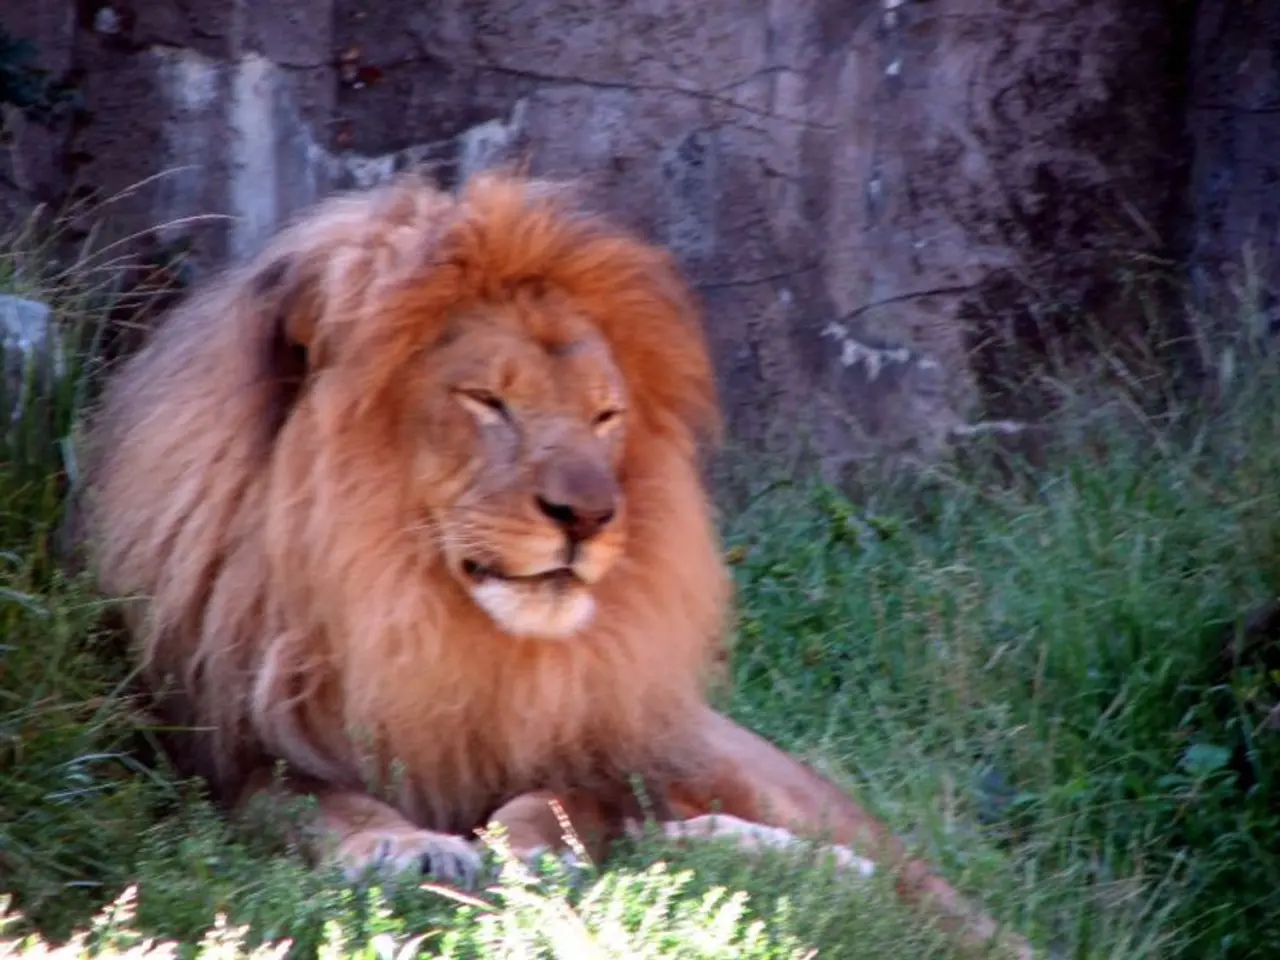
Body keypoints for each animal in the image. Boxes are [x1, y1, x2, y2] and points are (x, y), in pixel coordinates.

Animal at [79, 171, 1032, 958]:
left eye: (606, 415)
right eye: (487, 401)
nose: (589, 516)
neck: (411, 605)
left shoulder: (609, 761)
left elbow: (564, 800)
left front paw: (530, 852)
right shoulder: (215, 755)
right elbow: (307, 797)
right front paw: (402, 844)